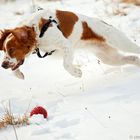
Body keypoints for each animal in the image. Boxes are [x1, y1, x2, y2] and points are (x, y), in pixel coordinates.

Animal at [0, 9, 140, 78]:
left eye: (12, 49)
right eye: (5, 50)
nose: (3, 65)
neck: (36, 30)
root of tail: (103, 22)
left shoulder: (66, 45)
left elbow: (66, 64)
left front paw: (77, 73)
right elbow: (15, 67)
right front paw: (19, 75)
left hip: (119, 41)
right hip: (109, 58)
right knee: (132, 58)